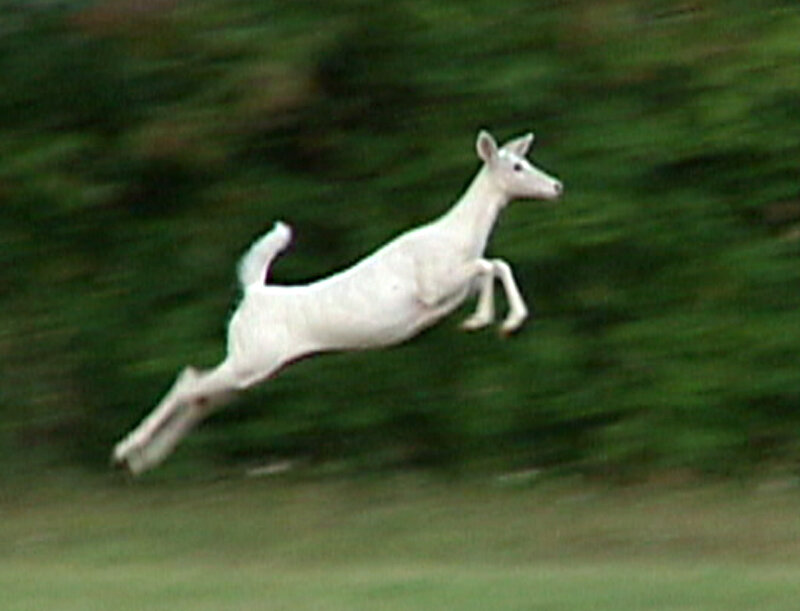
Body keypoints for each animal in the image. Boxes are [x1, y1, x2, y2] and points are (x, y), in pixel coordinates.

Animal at [112, 129, 563, 475]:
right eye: (516, 167)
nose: (557, 186)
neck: (460, 237)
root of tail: (253, 292)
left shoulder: (452, 290)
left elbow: (495, 265)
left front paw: (500, 320)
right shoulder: (432, 286)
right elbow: (491, 264)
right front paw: (491, 320)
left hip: (253, 368)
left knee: (200, 395)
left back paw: (144, 459)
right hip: (252, 358)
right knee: (189, 383)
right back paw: (127, 449)